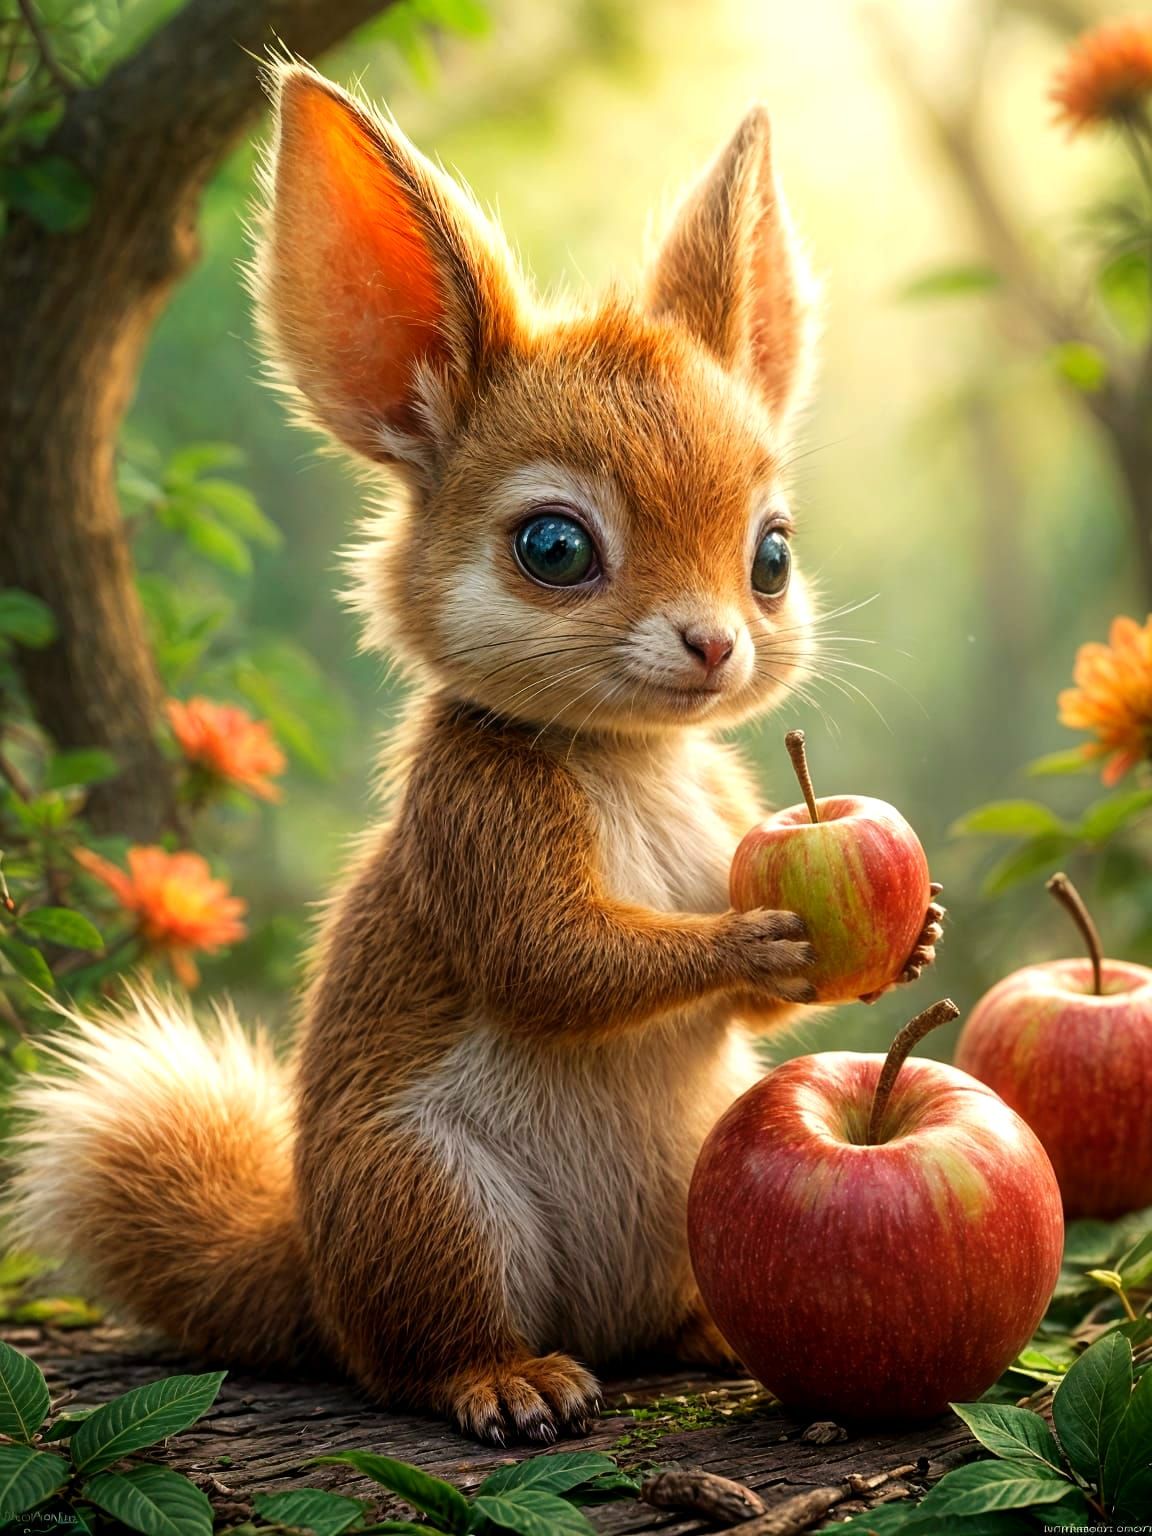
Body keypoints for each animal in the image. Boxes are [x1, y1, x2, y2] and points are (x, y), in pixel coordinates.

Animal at [9, 64, 943, 1446]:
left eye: (773, 554)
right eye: (553, 548)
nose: (716, 645)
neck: (628, 756)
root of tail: (312, 1282)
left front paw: (909, 938)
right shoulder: (476, 817)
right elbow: (550, 958)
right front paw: (749, 940)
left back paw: (710, 1332)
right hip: (426, 1199)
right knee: (417, 1354)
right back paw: (510, 1380)